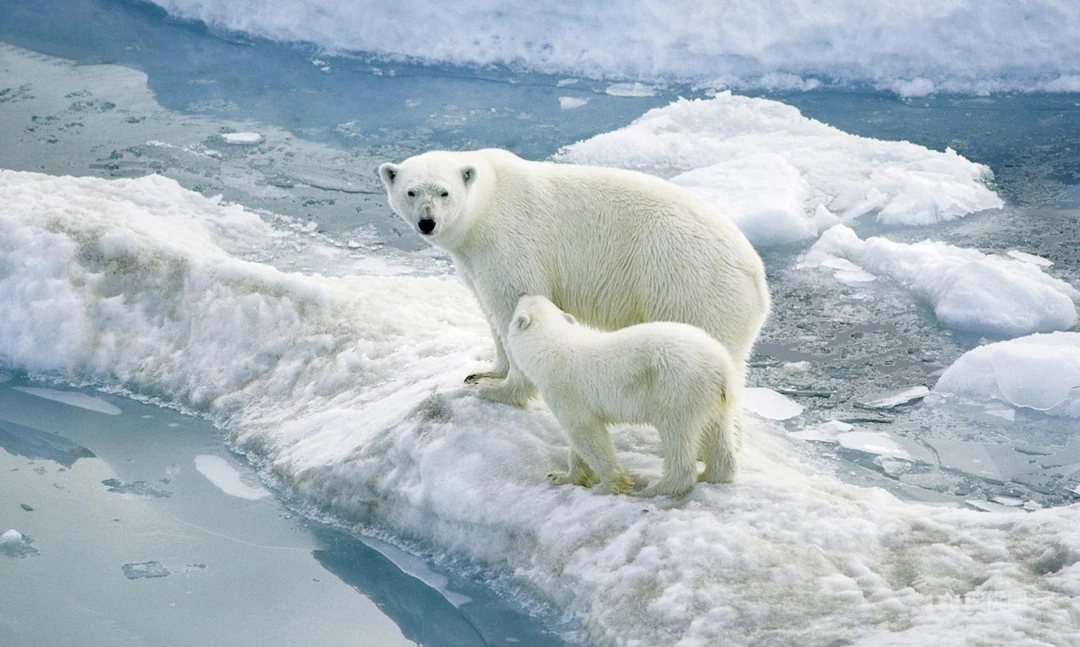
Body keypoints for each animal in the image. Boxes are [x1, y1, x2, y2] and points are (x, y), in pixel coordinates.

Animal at [506, 295, 738, 497]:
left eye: (521, 304)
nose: (523, 293)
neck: (551, 345)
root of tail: (721, 366)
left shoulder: (565, 389)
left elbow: (585, 432)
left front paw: (608, 485)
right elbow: (580, 440)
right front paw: (561, 476)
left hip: (678, 387)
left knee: (676, 432)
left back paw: (656, 488)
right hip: (712, 396)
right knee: (717, 431)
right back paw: (712, 474)